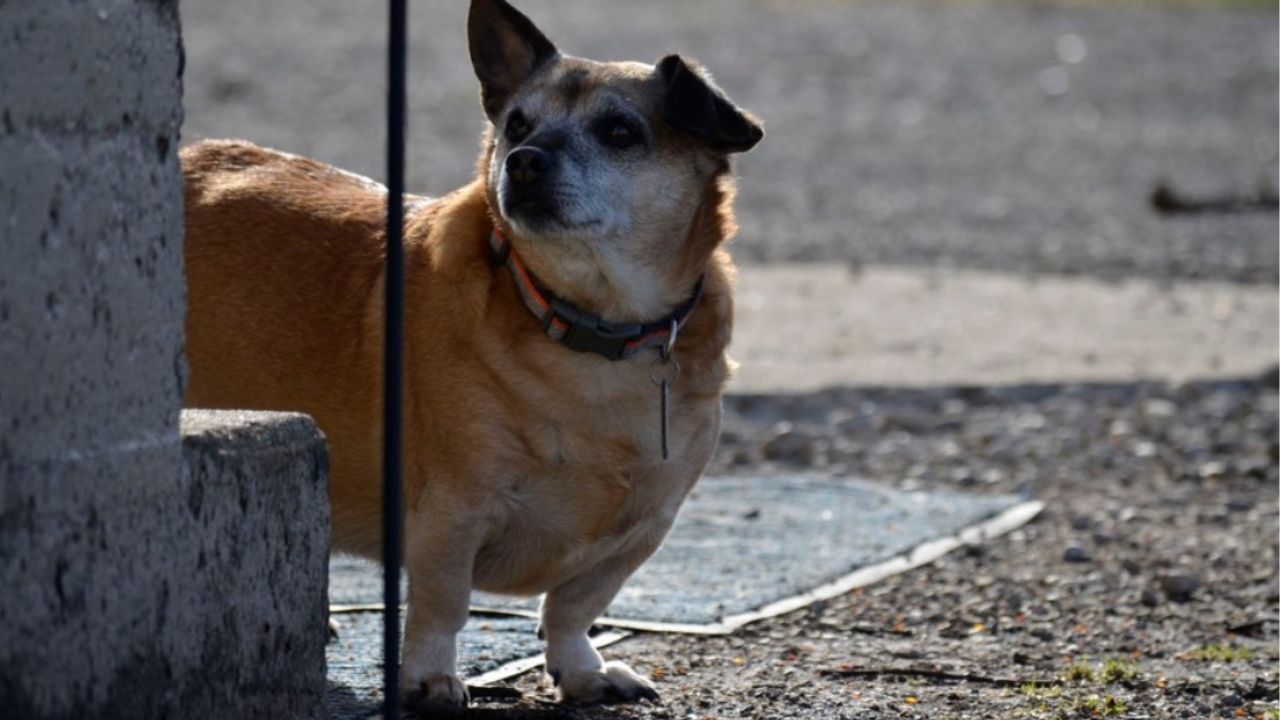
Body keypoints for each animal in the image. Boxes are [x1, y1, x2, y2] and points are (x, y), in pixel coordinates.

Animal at [180, 0, 757, 707]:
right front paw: (428, 678)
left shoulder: (643, 529)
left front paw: (581, 669)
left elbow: (574, 605)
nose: (525, 161)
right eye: (516, 126)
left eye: (620, 131)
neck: (591, 326)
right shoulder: (451, 514)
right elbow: (442, 606)